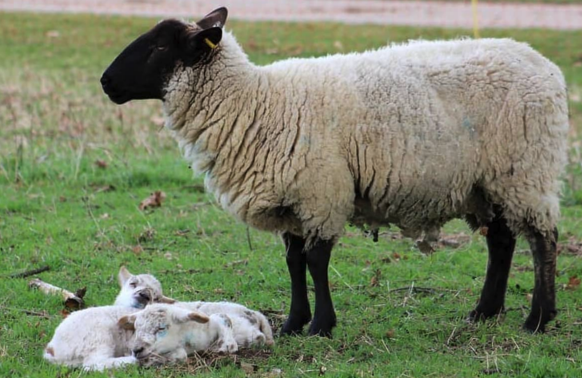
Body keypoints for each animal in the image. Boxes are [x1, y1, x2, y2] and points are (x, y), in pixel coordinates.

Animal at [100, 6, 572, 336]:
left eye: (160, 47)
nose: (106, 82)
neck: (255, 103)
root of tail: (547, 68)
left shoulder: (321, 191)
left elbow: (316, 260)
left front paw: (321, 325)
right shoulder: (292, 200)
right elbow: (293, 262)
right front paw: (293, 323)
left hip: (525, 169)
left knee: (542, 239)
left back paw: (538, 318)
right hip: (489, 181)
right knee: (502, 241)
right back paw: (484, 312)